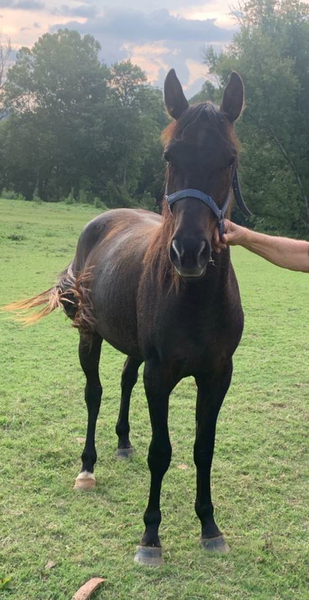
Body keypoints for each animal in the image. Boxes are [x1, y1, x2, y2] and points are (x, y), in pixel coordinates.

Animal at [7, 70, 247, 568]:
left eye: (229, 159)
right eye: (170, 156)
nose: (189, 252)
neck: (194, 299)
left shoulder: (218, 375)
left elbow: (204, 448)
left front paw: (209, 525)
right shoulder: (161, 375)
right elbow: (162, 451)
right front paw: (151, 536)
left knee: (122, 381)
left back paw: (121, 442)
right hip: (90, 337)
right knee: (95, 393)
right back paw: (88, 466)